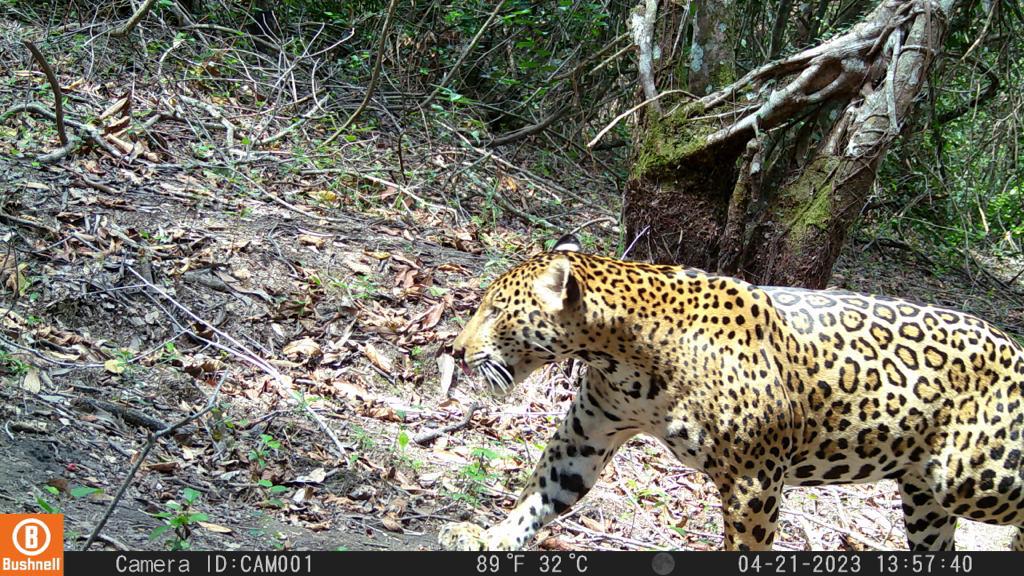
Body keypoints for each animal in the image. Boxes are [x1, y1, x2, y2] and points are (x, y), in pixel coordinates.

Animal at [439, 234, 1024, 551]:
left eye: (496, 310)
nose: (457, 350)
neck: (624, 355)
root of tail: (1013, 345)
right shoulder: (587, 435)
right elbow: (538, 497)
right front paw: (490, 538)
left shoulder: (754, 478)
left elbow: (746, 545)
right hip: (926, 498)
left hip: (972, 477)